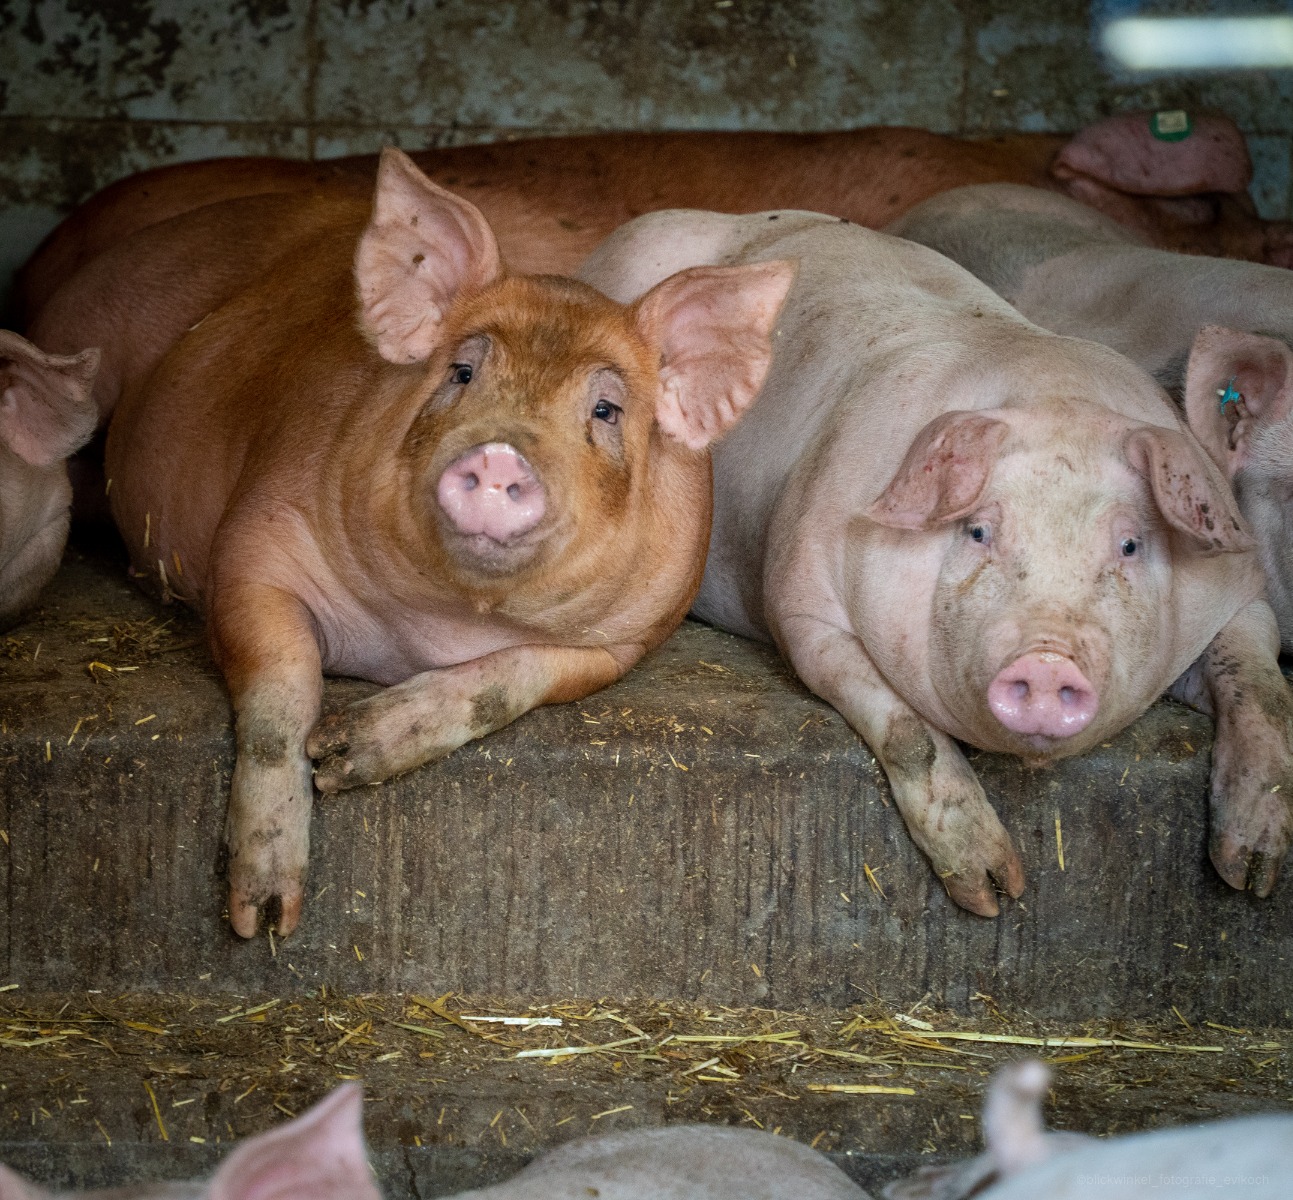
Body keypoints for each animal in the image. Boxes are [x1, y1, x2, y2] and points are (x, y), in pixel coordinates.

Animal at [32, 147, 786, 936]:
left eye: (606, 409)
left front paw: (346, 753)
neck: (434, 622)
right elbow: (278, 694)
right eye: (462, 371)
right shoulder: (253, 543)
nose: (499, 454)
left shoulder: (626, 641)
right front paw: (264, 917)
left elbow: (510, 679)